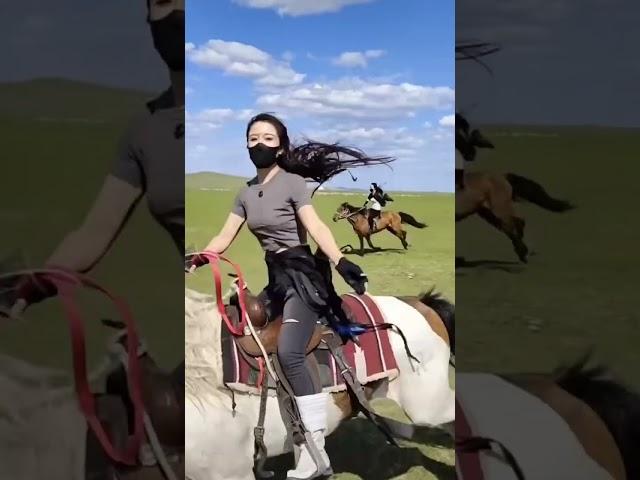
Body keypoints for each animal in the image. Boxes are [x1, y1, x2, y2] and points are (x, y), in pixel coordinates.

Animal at [456, 122, 576, 262]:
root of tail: (503, 176)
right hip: (488, 212)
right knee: (511, 226)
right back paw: (523, 252)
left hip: (499, 208)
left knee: (515, 223)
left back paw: (523, 253)